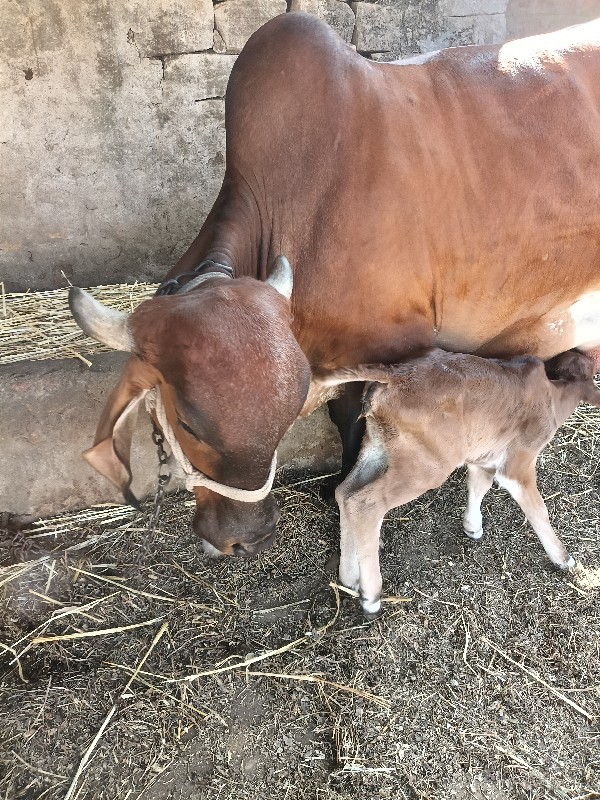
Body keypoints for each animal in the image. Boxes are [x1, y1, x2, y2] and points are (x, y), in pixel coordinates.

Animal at [67, 15, 600, 560]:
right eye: (188, 423)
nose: (247, 538)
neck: (293, 200)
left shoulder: (390, 347)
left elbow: (352, 420)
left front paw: (338, 485)